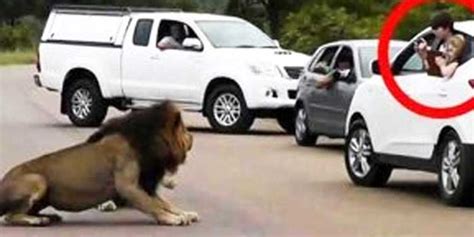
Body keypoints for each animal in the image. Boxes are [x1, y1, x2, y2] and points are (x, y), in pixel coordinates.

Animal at [0, 101, 198, 226]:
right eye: (185, 130)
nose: (193, 137)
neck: (144, 143)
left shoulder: (144, 185)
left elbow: (165, 203)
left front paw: (185, 213)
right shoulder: (128, 187)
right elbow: (153, 206)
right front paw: (171, 219)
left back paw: (49, 216)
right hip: (38, 180)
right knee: (9, 216)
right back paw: (37, 221)